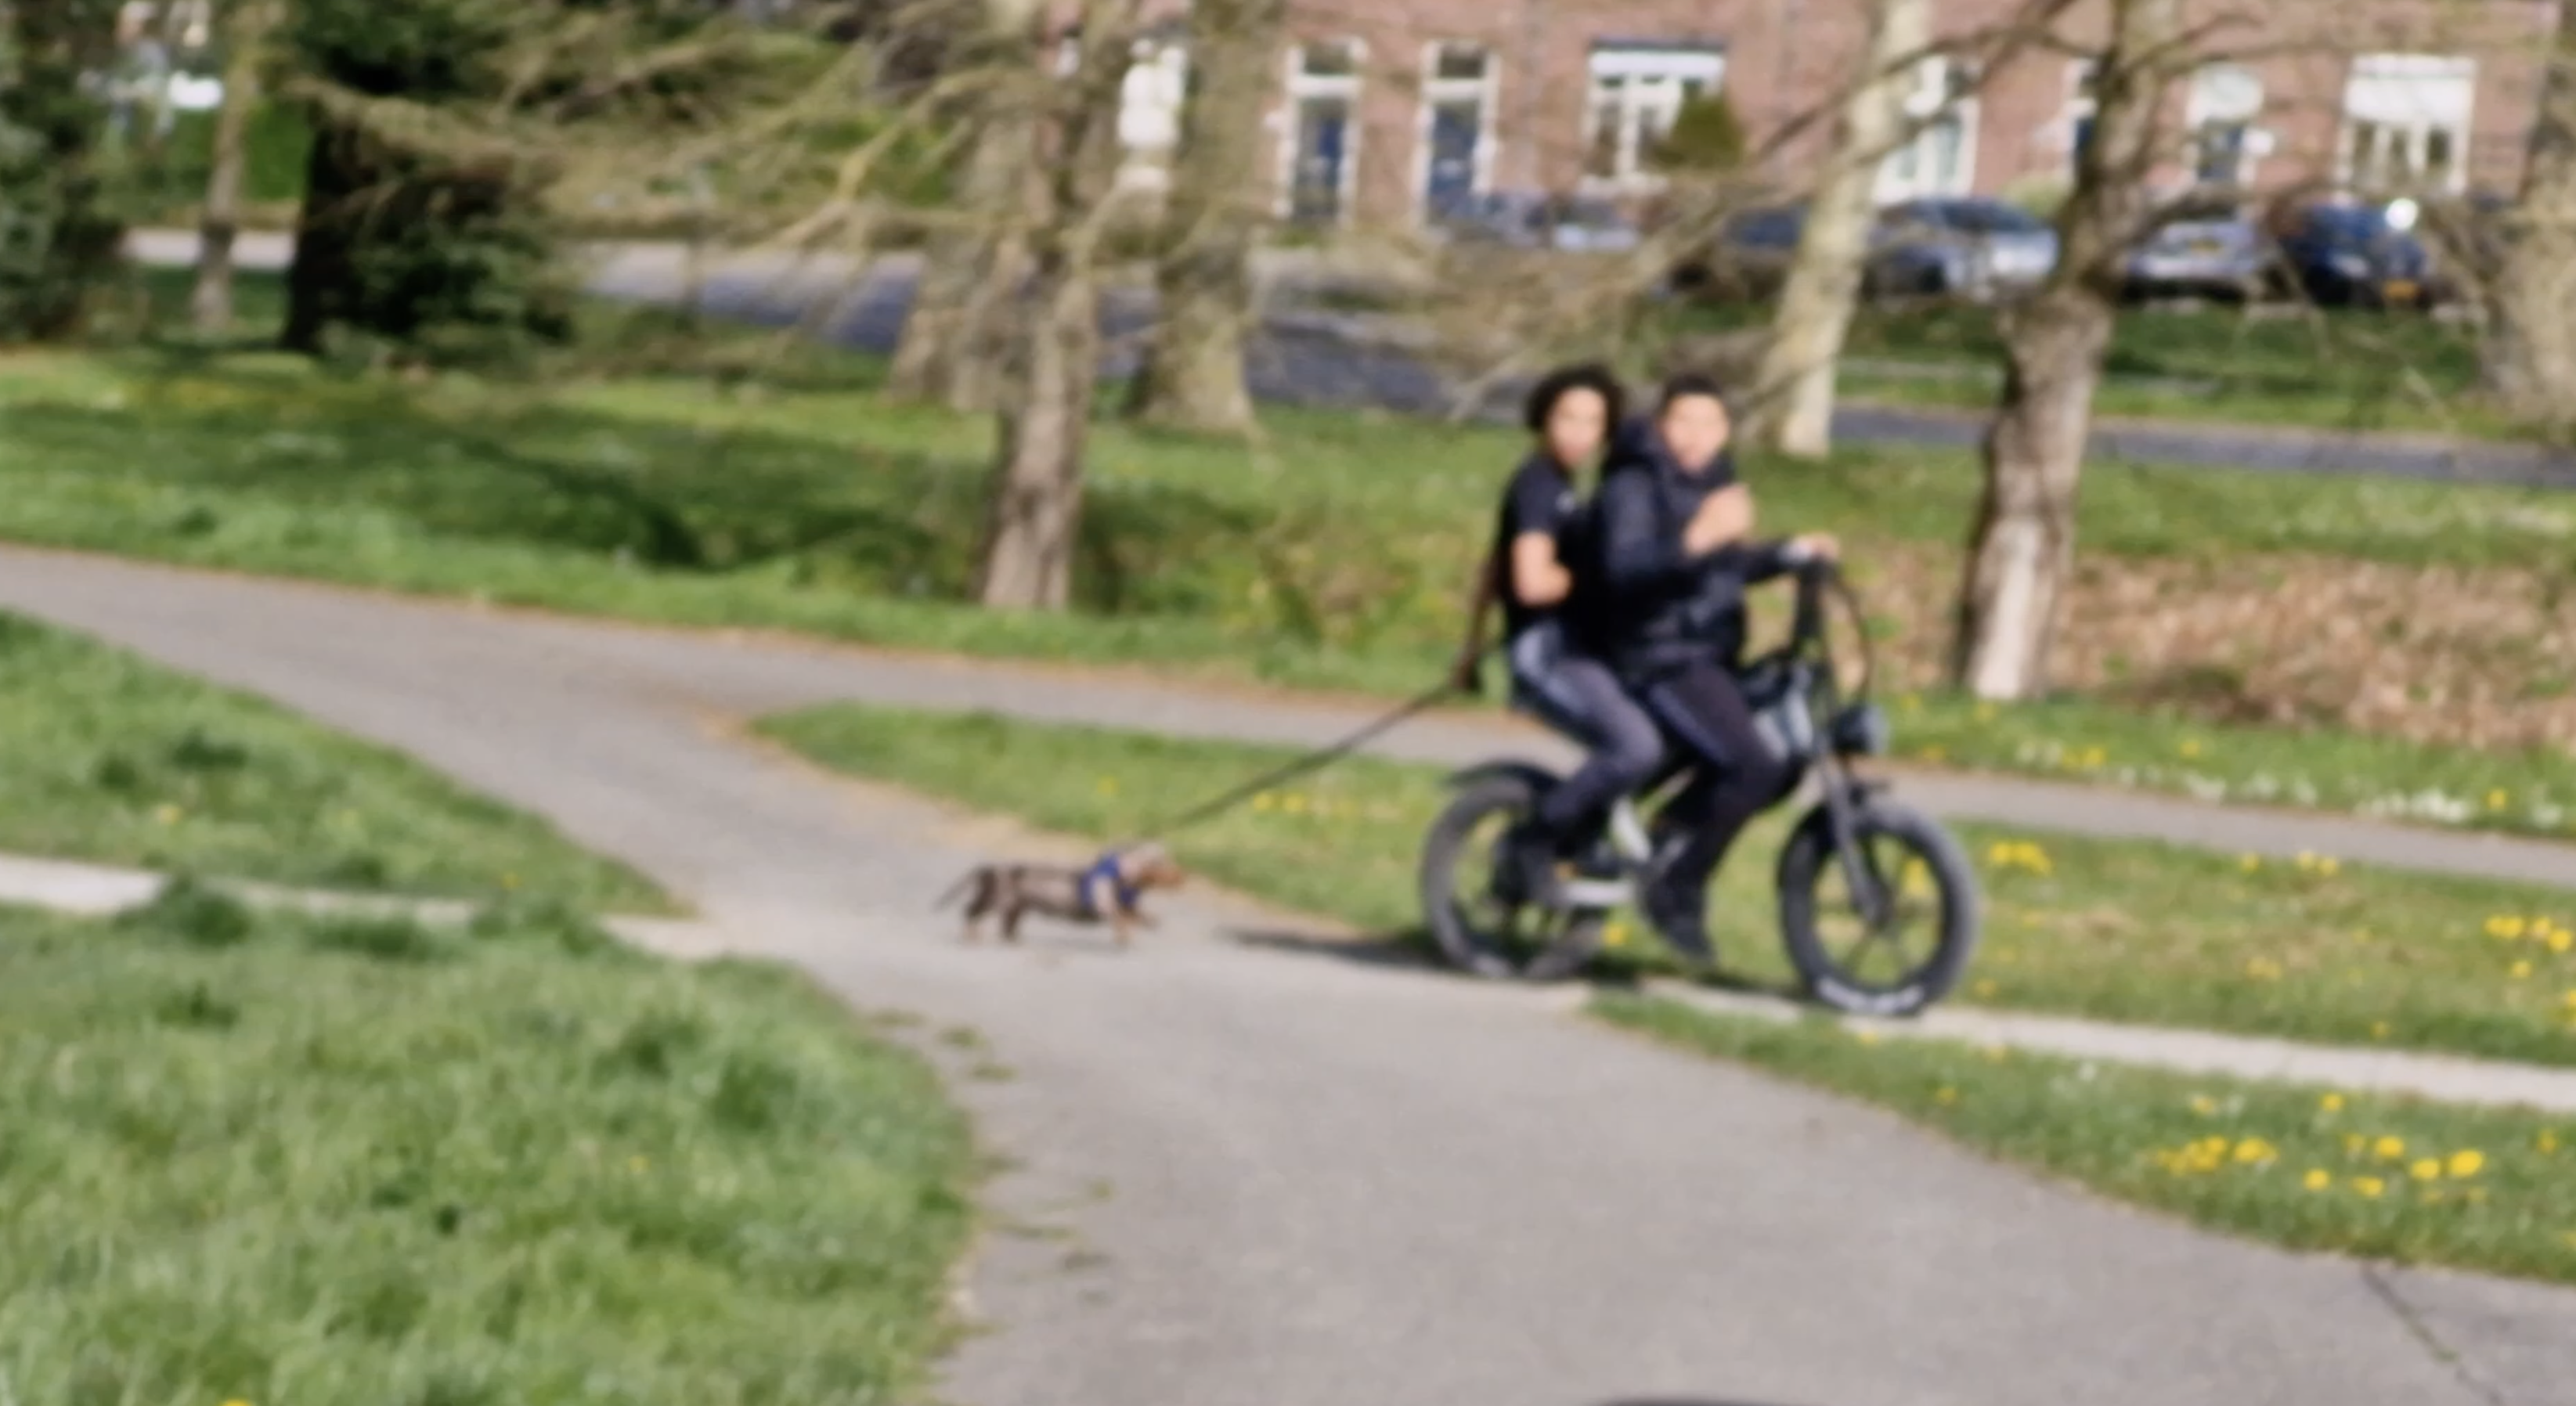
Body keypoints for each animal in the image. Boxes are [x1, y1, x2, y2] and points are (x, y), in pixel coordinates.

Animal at [934, 843, 1187, 949]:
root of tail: (986, 869)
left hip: (1016, 907)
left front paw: (1150, 921)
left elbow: (1136, 913)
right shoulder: (1104, 904)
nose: (1182, 876)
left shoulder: (1129, 905)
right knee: (970, 911)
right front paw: (1125, 934)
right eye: (1161, 863)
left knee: (1006, 927)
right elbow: (1119, 916)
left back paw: (1016, 940)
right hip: (994, 898)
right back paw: (972, 935)